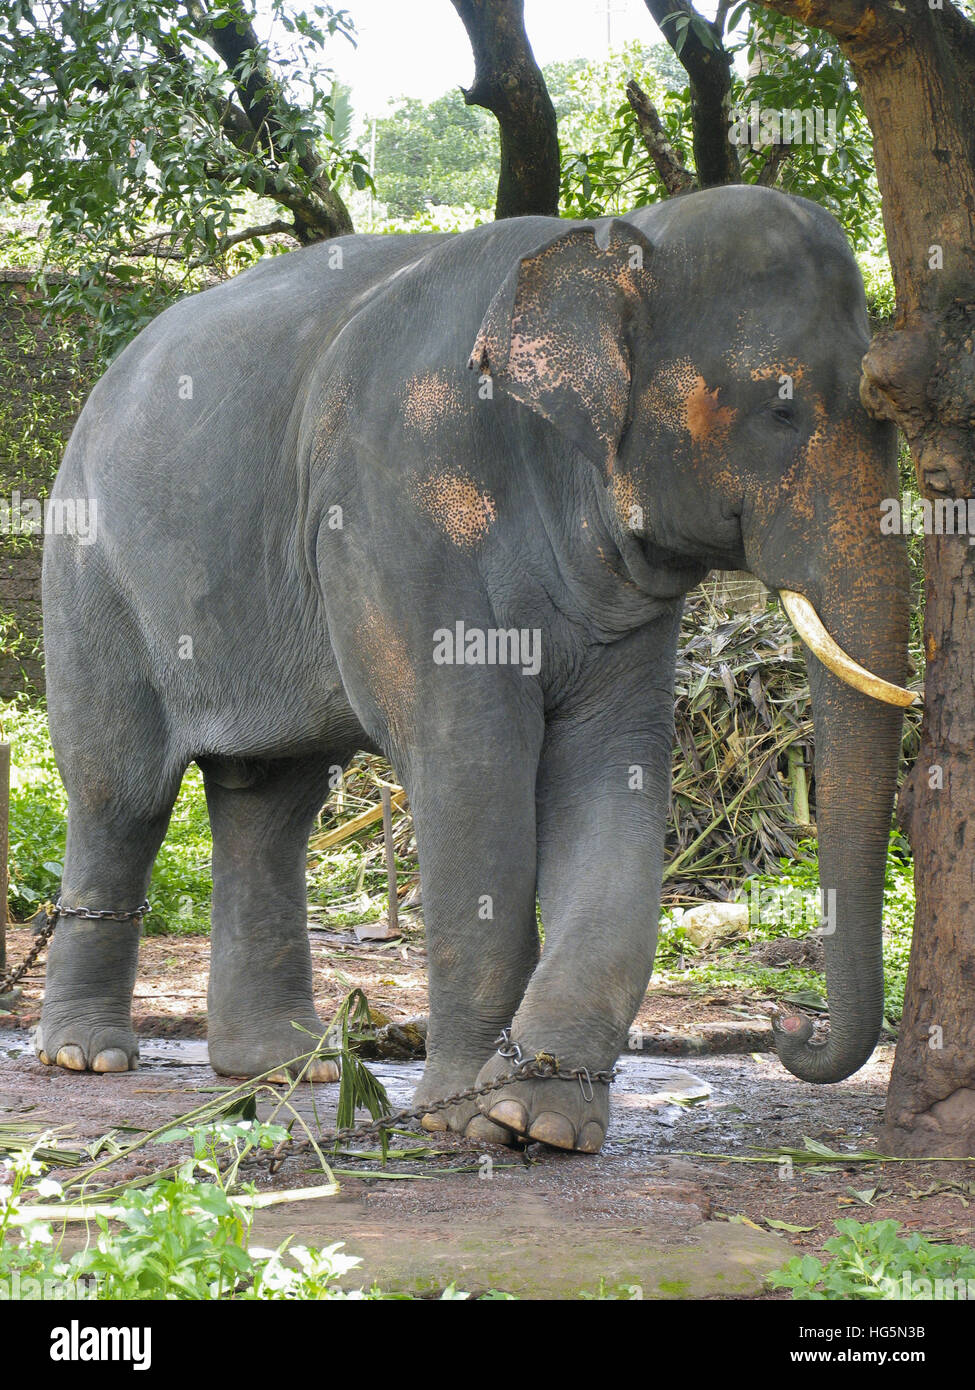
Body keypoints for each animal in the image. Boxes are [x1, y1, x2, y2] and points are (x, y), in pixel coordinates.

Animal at [38, 184, 906, 1150]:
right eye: (780, 411)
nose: (787, 1026)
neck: (607, 241)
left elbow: (614, 766)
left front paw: (540, 1120)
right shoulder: (400, 505)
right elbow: (473, 760)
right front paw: (464, 1117)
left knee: (271, 801)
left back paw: (284, 1065)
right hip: (88, 577)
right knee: (121, 793)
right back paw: (89, 1056)